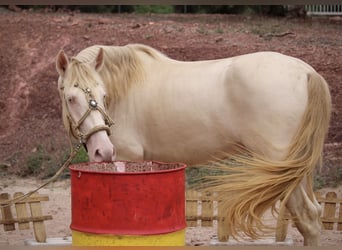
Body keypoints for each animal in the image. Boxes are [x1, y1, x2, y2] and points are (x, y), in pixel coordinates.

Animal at [56, 44, 332, 245]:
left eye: (103, 95)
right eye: (71, 98)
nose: (102, 150)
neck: (126, 87)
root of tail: (306, 72)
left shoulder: (127, 159)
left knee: (307, 217)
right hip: (294, 170)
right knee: (313, 215)